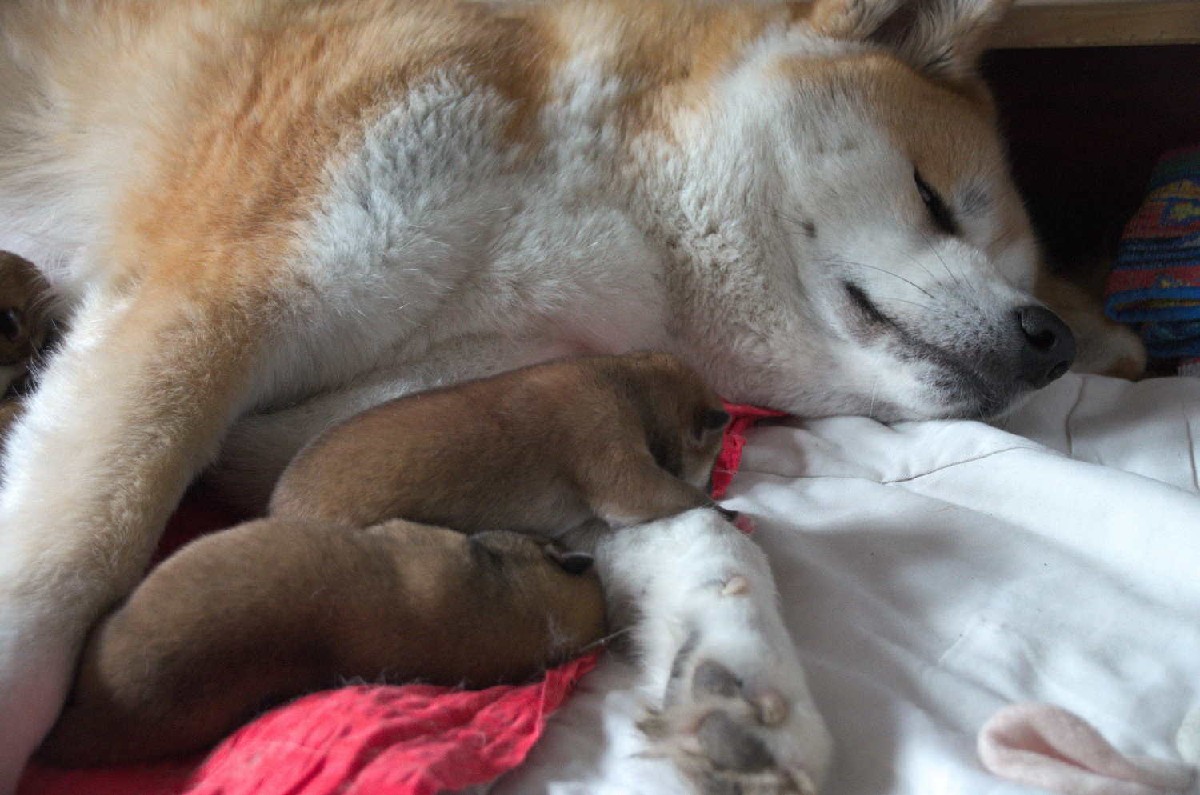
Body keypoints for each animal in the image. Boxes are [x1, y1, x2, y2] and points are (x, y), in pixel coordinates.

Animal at [270, 351, 731, 532]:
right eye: (713, 457)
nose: (718, 483)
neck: (632, 387)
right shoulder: (621, 472)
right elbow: (681, 495)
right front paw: (723, 509)